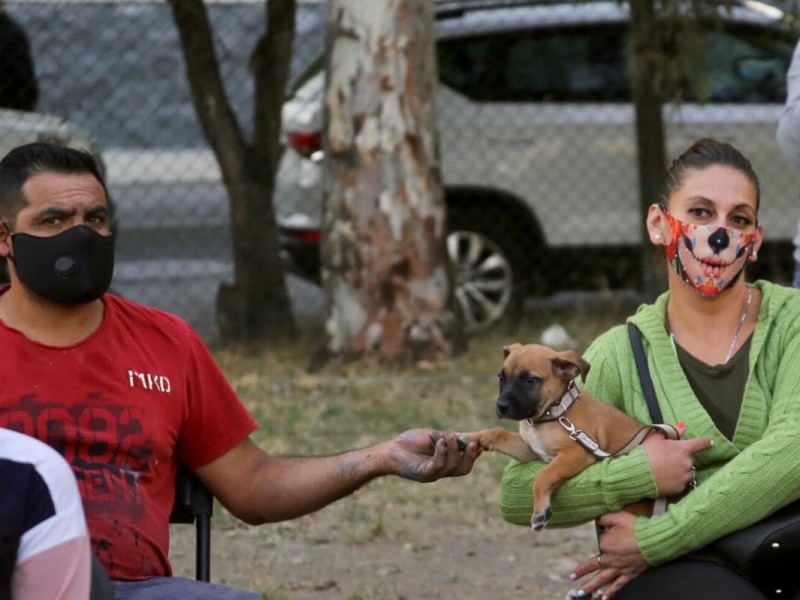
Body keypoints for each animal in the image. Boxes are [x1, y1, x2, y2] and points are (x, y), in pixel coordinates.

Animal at [456, 342, 676, 528]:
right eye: (501, 377)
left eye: (529, 380)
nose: (501, 406)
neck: (554, 414)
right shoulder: (529, 449)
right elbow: (498, 432)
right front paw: (469, 437)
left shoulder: (577, 453)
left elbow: (543, 476)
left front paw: (540, 511)